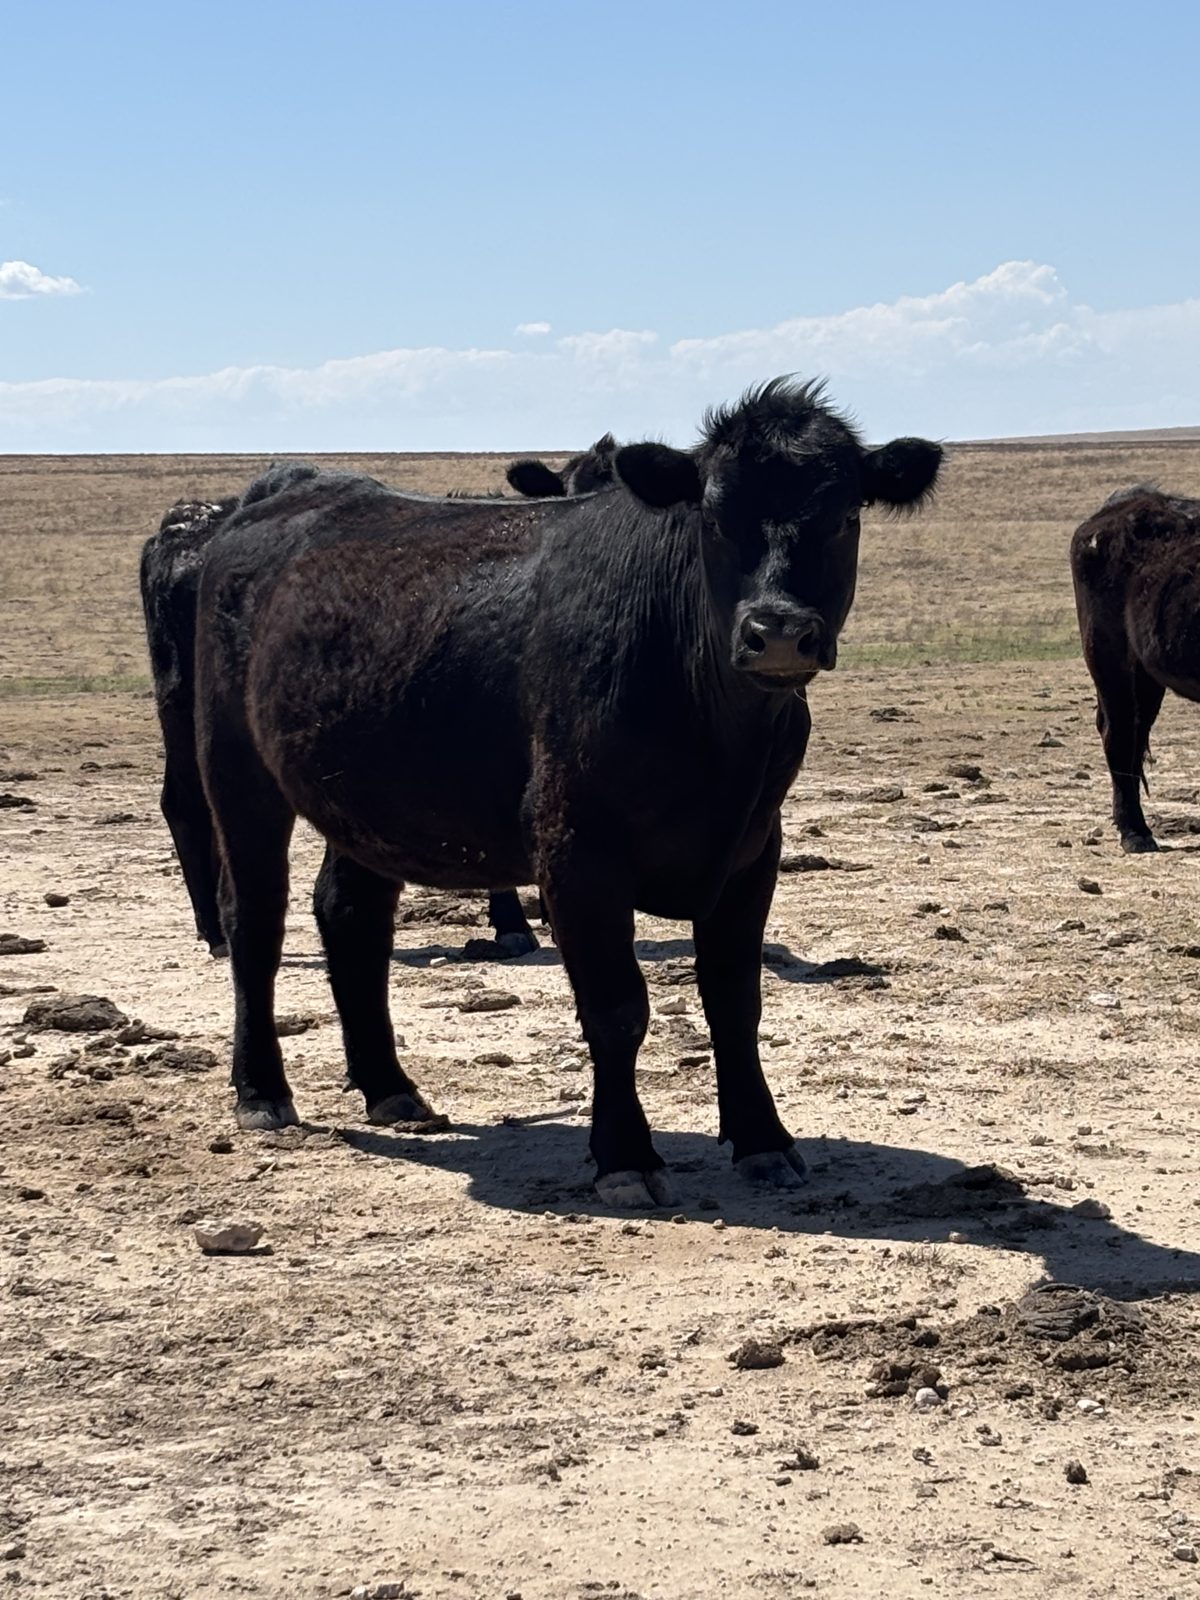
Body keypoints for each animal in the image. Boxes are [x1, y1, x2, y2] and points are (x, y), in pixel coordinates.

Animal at [194, 378, 942, 1206]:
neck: (715, 741)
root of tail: (281, 491)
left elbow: (734, 1001)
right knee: (254, 917)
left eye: (844, 516)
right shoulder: (577, 851)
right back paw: (262, 1090)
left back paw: (390, 1086)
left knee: (350, 914)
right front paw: (625, 1156)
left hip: (369, 792)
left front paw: (763, 1139)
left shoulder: (752, 851)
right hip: (235, 767)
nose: (776, 630)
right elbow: (616, 1009)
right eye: (714, 517)